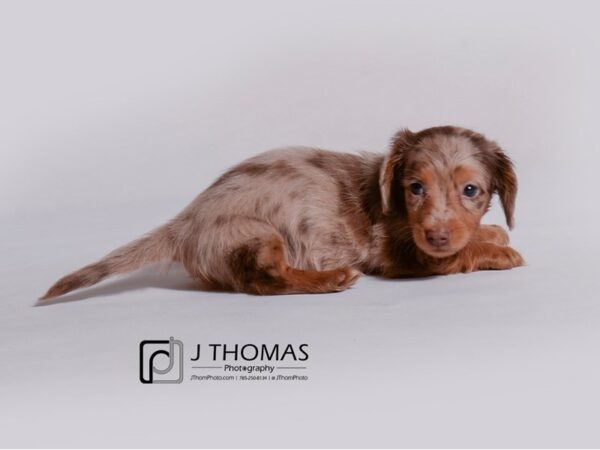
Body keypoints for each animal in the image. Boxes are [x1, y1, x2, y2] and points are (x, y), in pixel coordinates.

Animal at [42, 125, 524, 298]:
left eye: (471, 190)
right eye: (415, 188)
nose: (437, 235)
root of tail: (185, 222)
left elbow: (473, 236)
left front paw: (493, 232)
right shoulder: (399, 254)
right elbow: (455, 257)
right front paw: (501, 251)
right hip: (259, 234)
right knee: (265, 281)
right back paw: (331, 278)